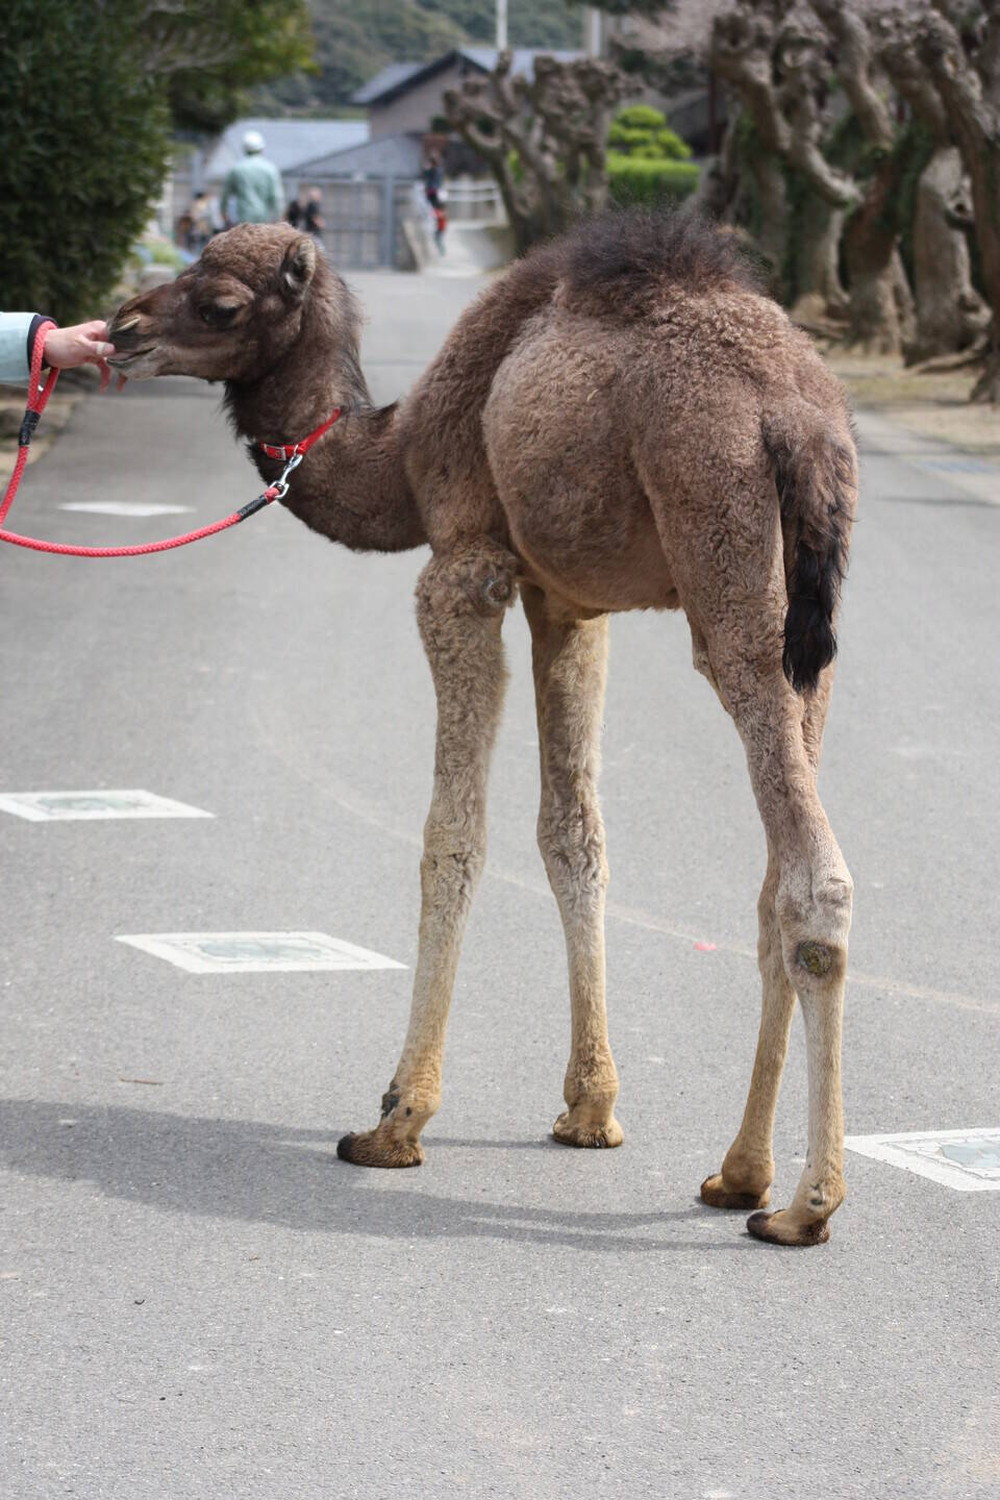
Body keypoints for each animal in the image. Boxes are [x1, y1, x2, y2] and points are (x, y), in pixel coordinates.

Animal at [109, 208, 863, 1242]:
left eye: (220, 300)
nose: (121, 327)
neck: (399, 450)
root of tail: (799, 415)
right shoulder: (565, 600)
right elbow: (572, 837)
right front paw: (590, 1109)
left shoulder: (464, 566)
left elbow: (452, 836)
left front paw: (396, 1119)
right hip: (803, 627)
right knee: (772, 881)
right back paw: (738, 1174)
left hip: (726, 559)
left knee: (813, 882)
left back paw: (806, 1206)